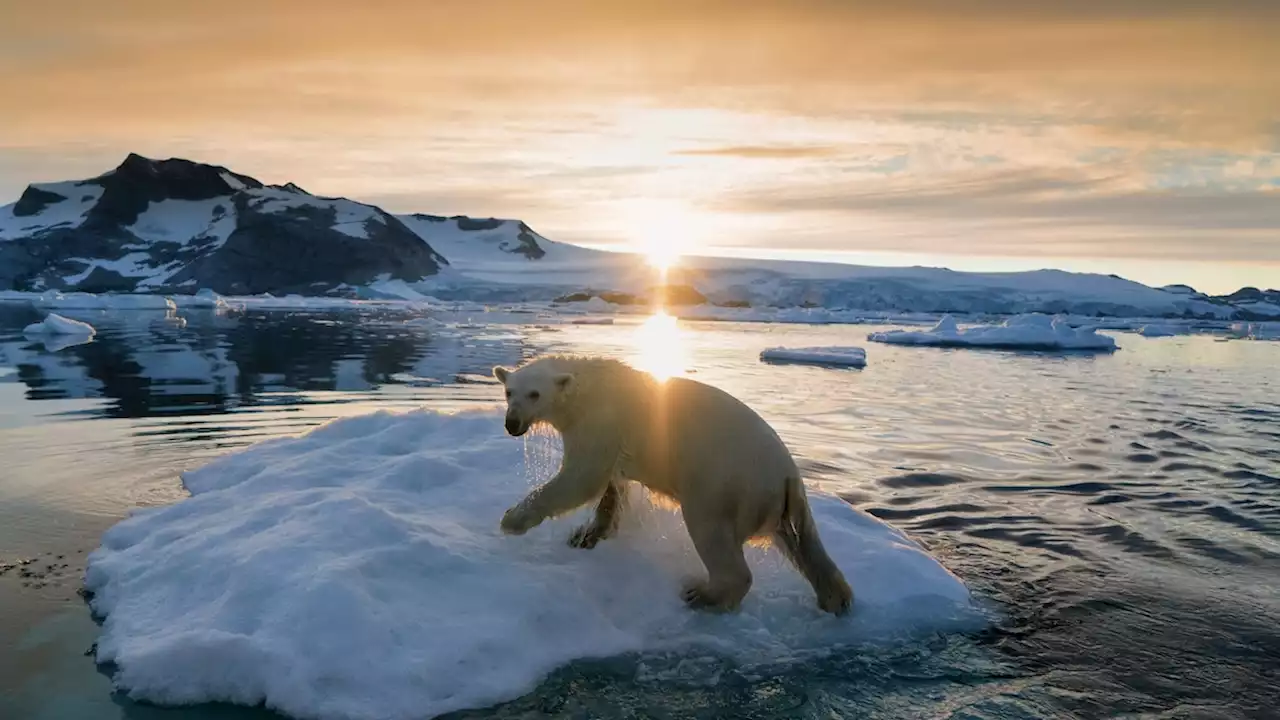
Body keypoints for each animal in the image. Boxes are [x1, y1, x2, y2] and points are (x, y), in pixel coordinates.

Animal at [494, 353, 855, 609]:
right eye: (509, 392)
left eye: (534, 394)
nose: (512, 424)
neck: (589, 389)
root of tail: (787, 475)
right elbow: (612, 487)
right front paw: (587, 535)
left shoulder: (600, 422)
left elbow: (582, 478)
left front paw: (512, 520)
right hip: (780, 501)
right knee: (803, 543)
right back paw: (836, 597)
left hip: (723, 482)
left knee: (712, 532)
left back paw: (703, 594)